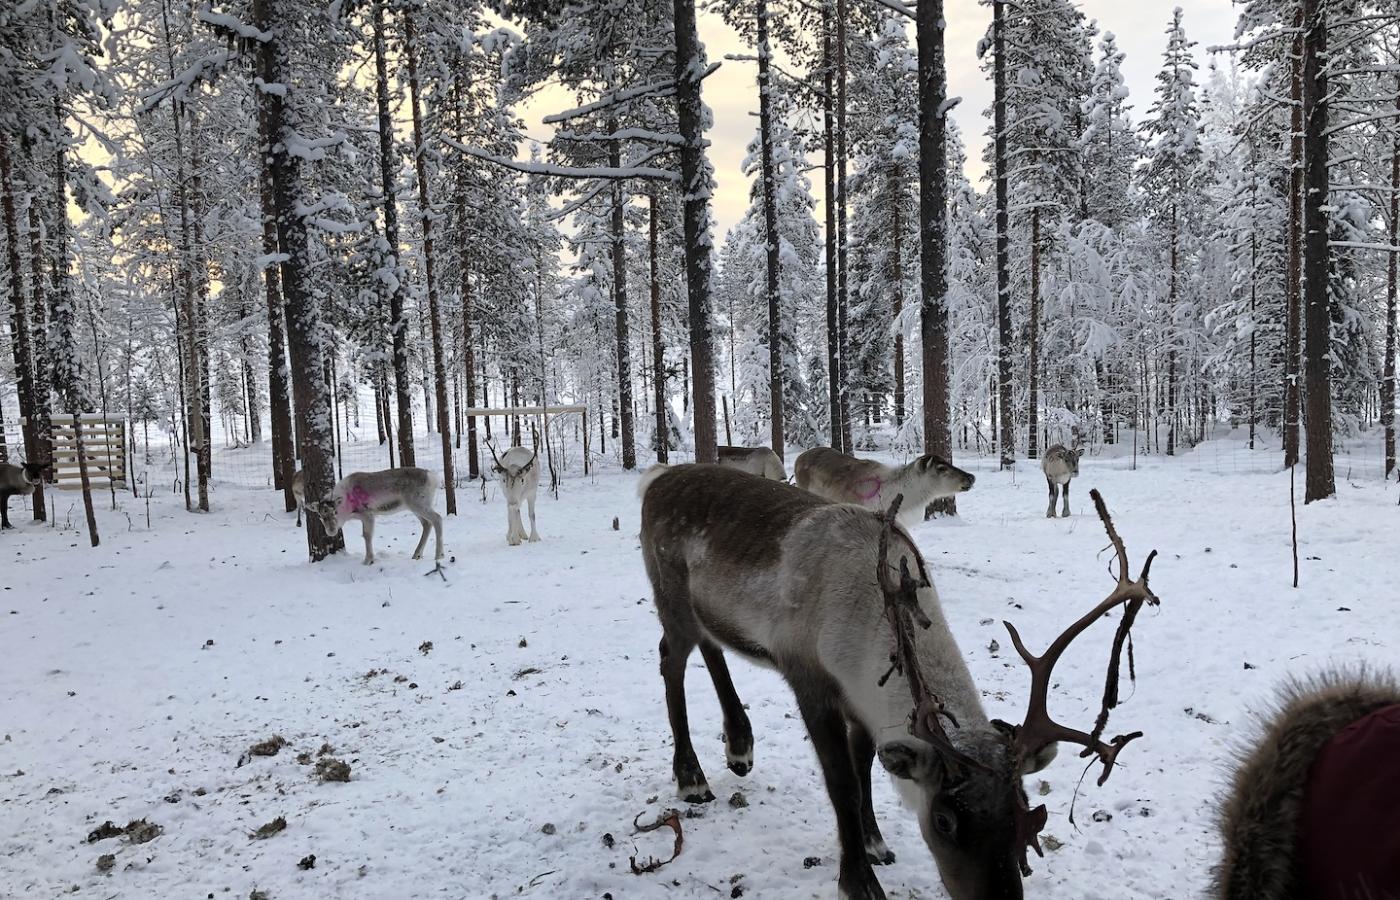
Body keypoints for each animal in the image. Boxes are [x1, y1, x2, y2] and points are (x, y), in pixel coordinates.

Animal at [306, 467, 443, 566]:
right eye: (320, 515)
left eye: (335, 511)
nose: (331, 531)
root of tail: (433, 478)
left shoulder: (368, 514)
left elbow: (367, 535)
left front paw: (368, 560)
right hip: (414, 507)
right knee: (427, 524)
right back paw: (417, 555)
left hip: (419, 504)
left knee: (437, 518)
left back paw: (439, 555)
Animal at [638, 463, 1157, 900]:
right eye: (944, 820)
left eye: (1023, 811)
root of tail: (655, 479)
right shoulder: (811, 682)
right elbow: (843, 783)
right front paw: (859, 881)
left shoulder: (863, 702)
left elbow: (865, 767)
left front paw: (874, 842)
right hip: (670, 597)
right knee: (670, 661)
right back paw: (691, 778)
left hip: (705, 612)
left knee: (711, 648)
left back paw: (739, 746)